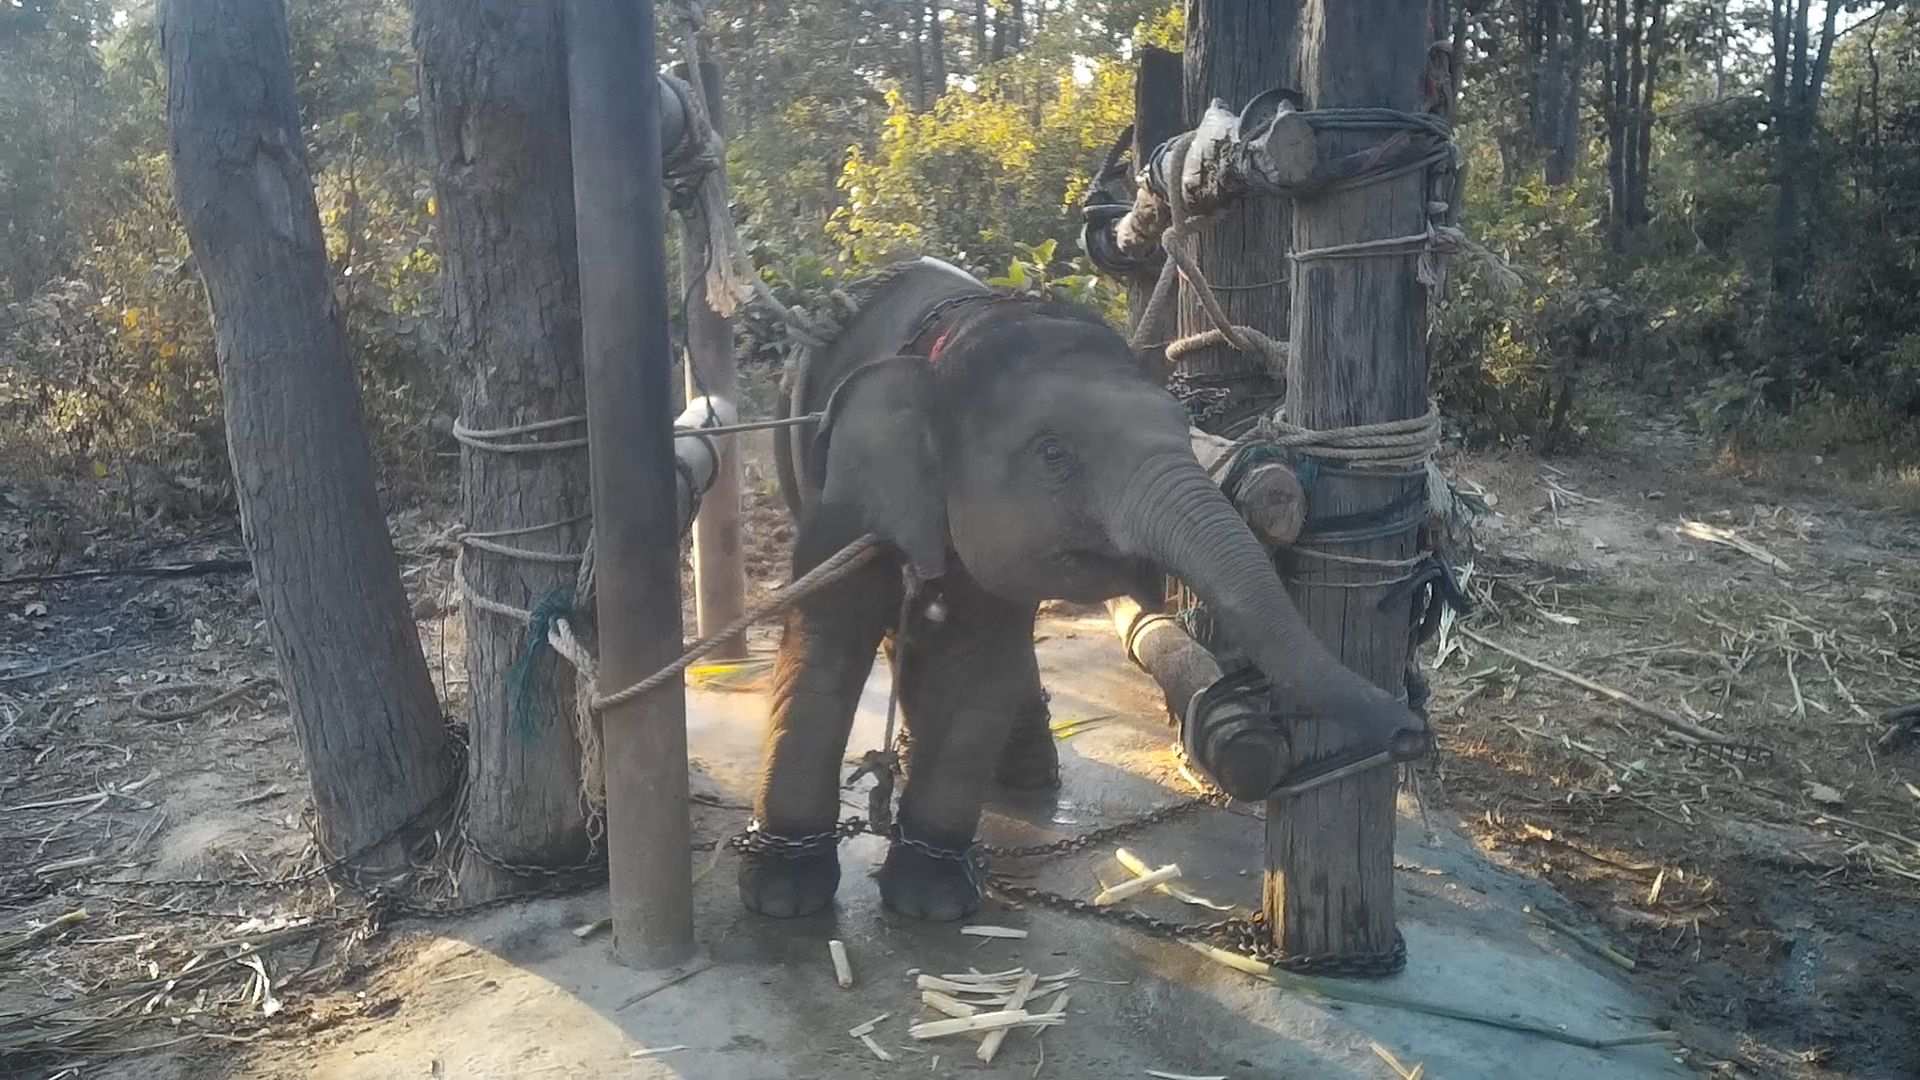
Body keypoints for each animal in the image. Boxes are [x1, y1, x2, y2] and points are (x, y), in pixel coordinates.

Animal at [741, 256, 1429, 922]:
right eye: (1053, 454)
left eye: (1184, 426)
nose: (1410, 732)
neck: (960, 339)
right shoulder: (847, 493)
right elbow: (825, 642)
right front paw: (784, 894)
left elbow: (977, 664)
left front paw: (933, 898)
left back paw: (1022, 774)